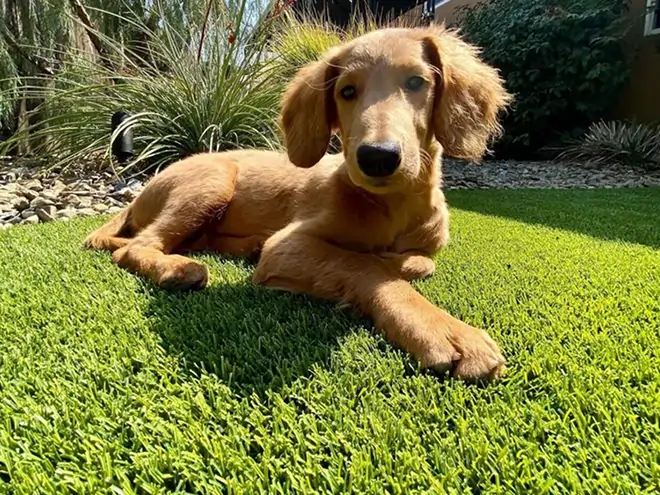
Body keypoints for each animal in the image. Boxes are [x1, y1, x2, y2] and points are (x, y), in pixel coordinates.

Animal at [85, 25, 512, 382]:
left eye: (416, 82)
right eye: (347, 91)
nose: (377, 157)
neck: (392, 207)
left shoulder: (424, 247)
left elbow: (420, 262)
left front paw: (397, 262)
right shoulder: (287, 246)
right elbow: (365, 266)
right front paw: (445, 330)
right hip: (211, 180)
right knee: (136, 247)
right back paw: (177, 268)